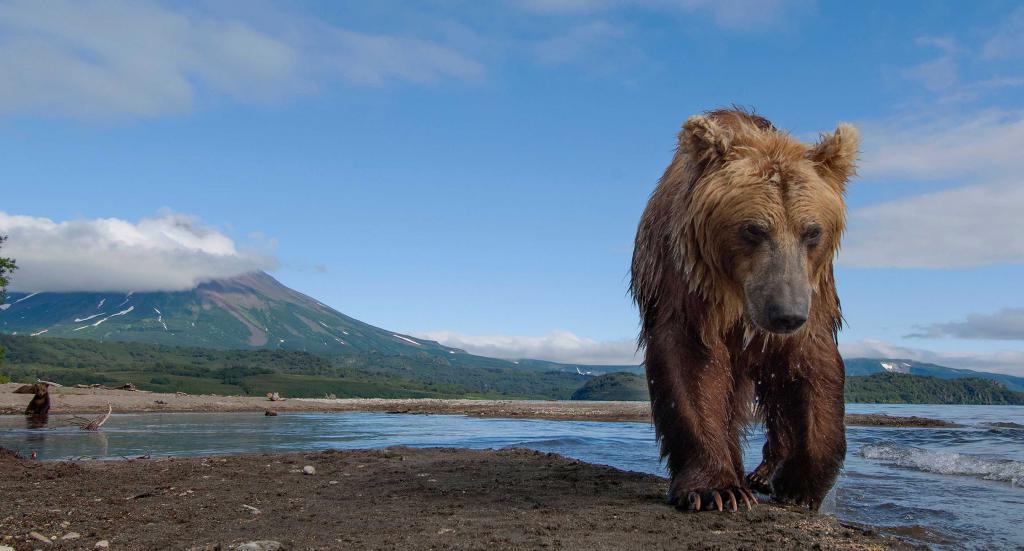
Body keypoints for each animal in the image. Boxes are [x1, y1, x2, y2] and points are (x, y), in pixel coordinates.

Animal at [630, 106, 856, 510]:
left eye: (812, 231)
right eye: (752, 229)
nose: (786, 314)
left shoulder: (814, 292)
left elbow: (812, 365)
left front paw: (800, 484)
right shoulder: (686, 281)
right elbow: (692, 361)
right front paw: (715, 488)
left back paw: (765, 472)